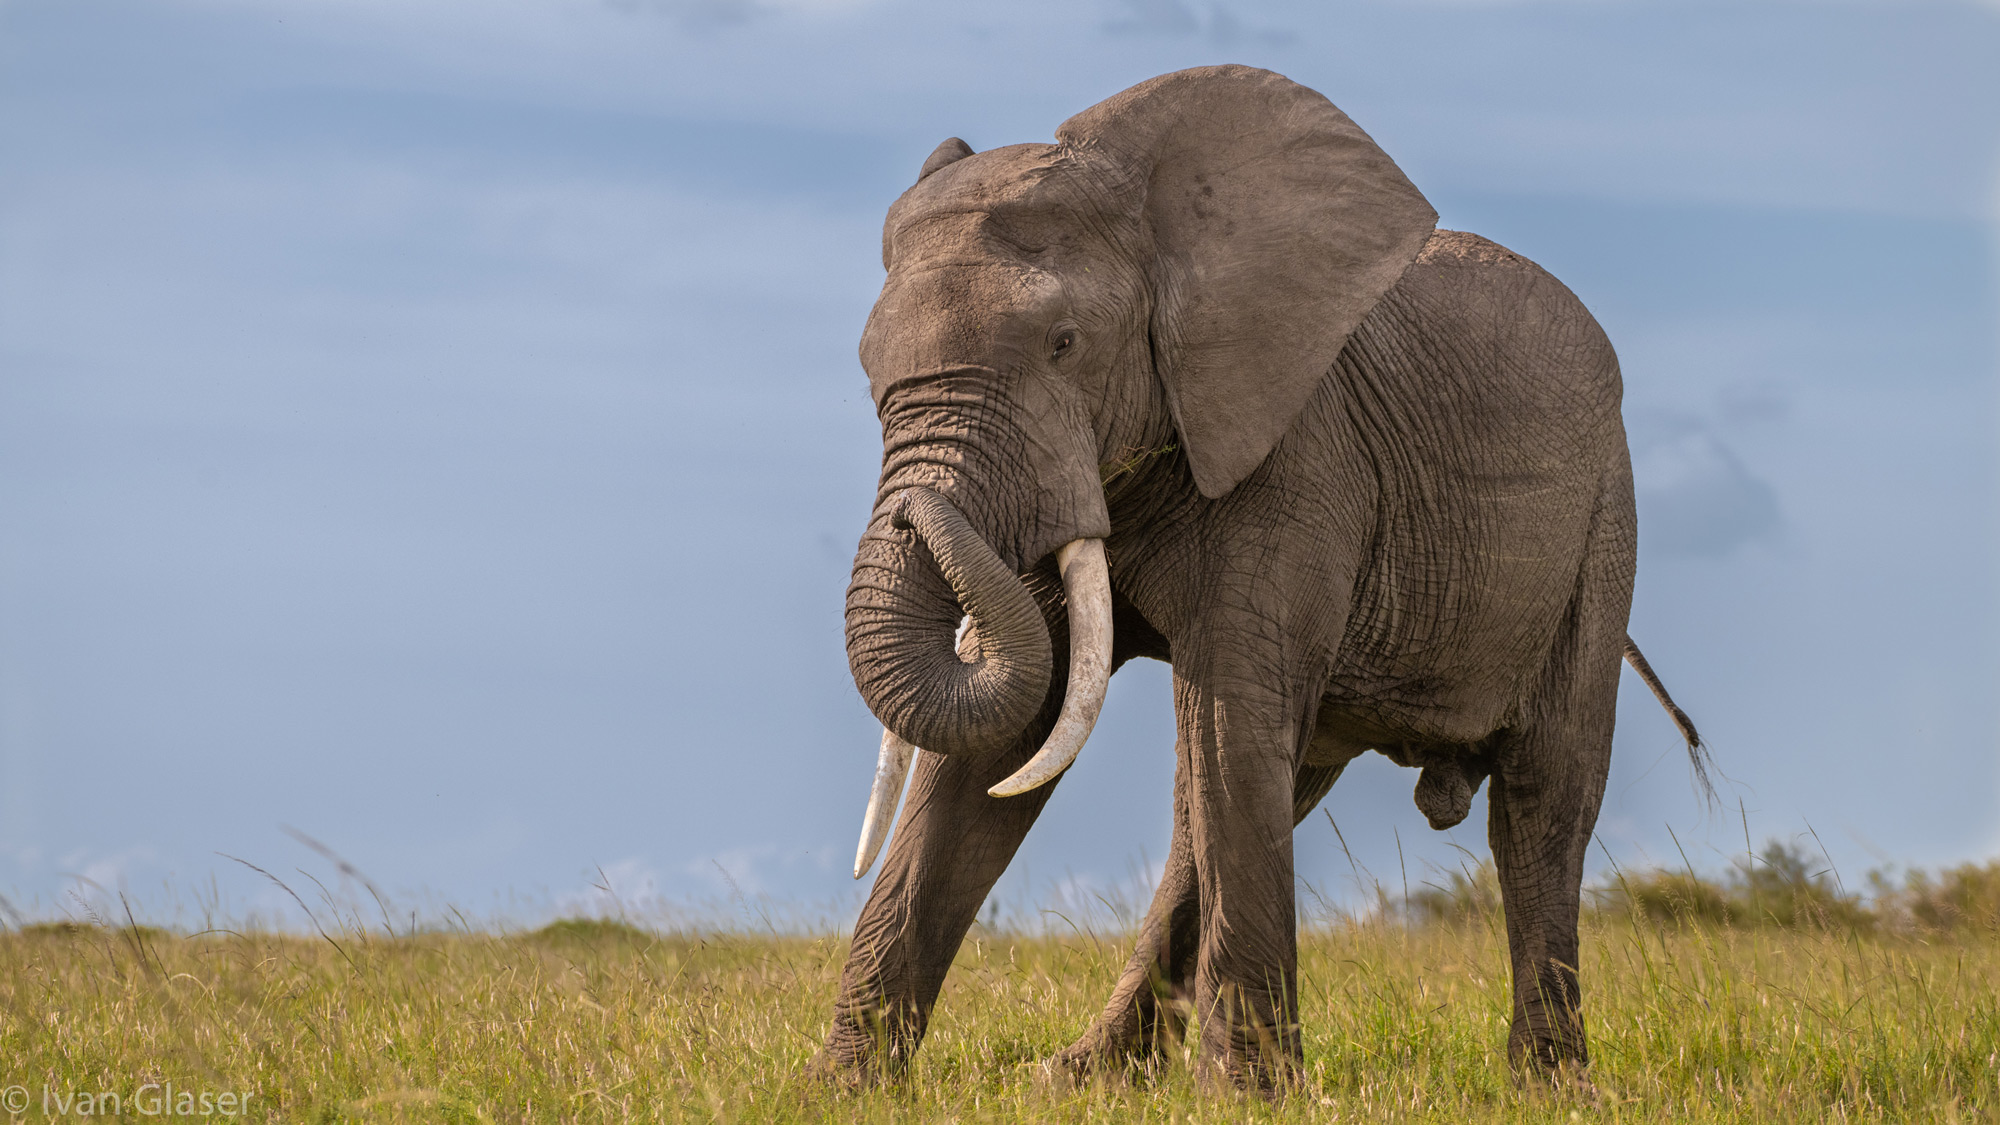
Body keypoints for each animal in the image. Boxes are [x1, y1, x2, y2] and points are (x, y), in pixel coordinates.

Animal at [808, 65, 1704, 1088]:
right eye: (868, 368)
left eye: (1064, 344)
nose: (915, 511)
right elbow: (1005, 741)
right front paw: (842, 1085)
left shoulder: (1297, 458)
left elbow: (1222, 717)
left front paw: (1250, 1093)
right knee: (1252, 788)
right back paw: (1082, 1072)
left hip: (1600, 525)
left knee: (1541, 799)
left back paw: (1549, 1083)